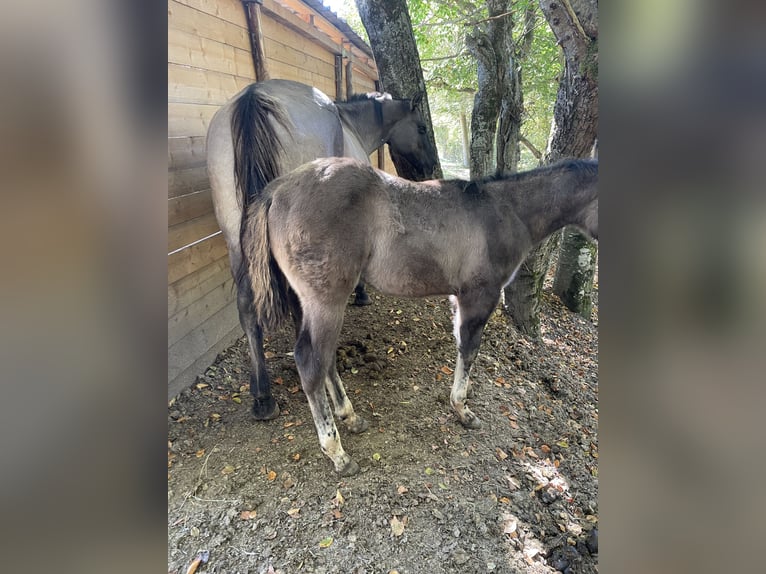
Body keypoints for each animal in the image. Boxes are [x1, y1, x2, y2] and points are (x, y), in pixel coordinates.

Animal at [206, 79, 438, 421]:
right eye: (421, 127)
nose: (429, 167)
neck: (351, 124)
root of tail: (254, 96)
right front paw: (361, 293)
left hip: (239, 239)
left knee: (247, 305)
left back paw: (262, 395)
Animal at [242, 156, 598, 475]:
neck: (506, 212)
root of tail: (276, 191)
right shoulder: (479, 296)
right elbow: (470, 350)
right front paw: (463, 410)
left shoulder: (458, 299)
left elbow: (460, 346)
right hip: (326, 300)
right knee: (310, 361)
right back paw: (338, 453)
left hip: (312, 302)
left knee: (324, 358)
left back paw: (350, 417)